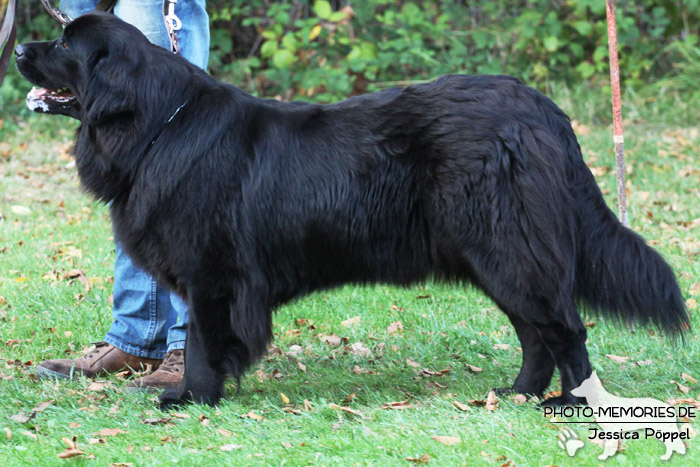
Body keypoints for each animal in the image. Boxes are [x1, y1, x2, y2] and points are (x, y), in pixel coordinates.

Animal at [13, 13, 688, 410]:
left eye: (65, 43)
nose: (17, 45)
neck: (158, 125)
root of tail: (541, 109)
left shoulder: (213, 276)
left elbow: (204, 342)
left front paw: (190, 399)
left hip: (510, 247)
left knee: (564, 328)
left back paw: (569, 404)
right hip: (491, 253)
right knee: (535, 332)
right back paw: (516, 393)